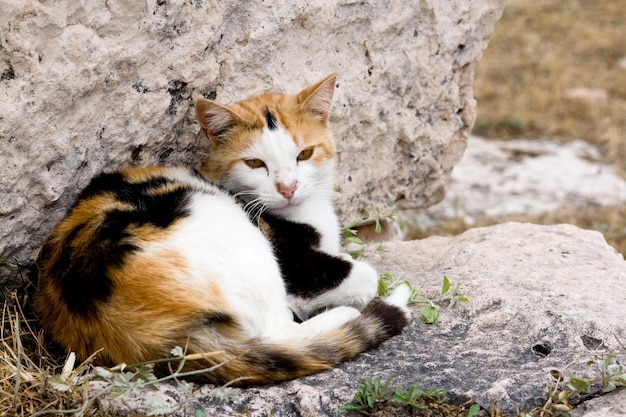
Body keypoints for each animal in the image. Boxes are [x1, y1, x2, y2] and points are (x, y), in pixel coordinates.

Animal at [36, 74, 412, 384]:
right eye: (255, 163)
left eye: (304, 154)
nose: (288, 187)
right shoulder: (293, 262)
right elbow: (364, 274)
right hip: (230, 231)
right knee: (277, 333)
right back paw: (349, 315)